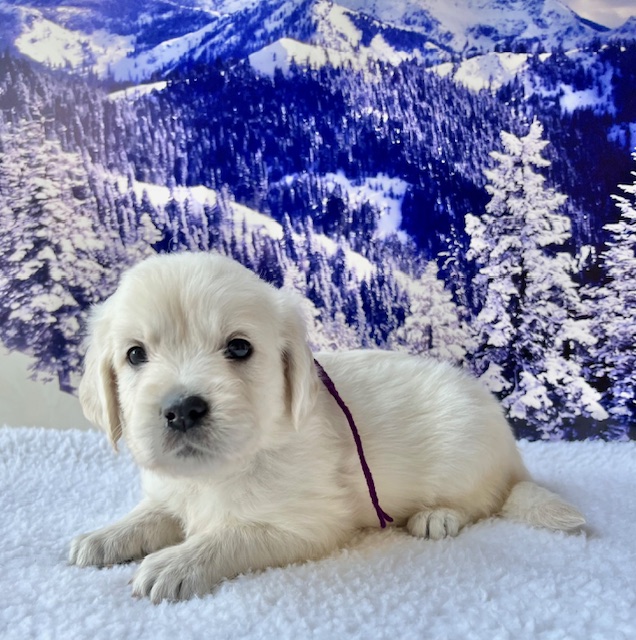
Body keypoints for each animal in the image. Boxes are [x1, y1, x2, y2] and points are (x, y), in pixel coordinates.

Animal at [69, 251, 585, 603]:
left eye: (239, 348)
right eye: (135, 354)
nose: (182, 409)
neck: (221, 470)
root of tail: (513, 457)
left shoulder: (306, 524)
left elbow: (229, 536)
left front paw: (174, 563)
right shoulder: (172, 493)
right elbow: (151, 514)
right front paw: (103, 537)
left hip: (467, 451)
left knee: (484, 500)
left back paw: (438, 516)